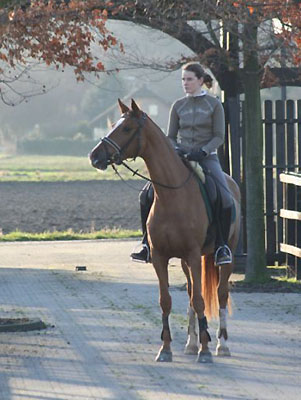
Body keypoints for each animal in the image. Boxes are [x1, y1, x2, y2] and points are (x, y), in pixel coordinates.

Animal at [88, 98, 239, 364]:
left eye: (126, 128)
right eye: (114, 125)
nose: (95, 156)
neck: (172, 195)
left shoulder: (192, 254)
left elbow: (200, 300)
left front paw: (205, 351)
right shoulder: (161, 257)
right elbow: (166, 301)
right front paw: (166, 349)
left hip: (224, 255)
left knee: (221, 294)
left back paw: (222, 345)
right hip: (188, 262)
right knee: (190, 294)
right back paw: (191, 343)